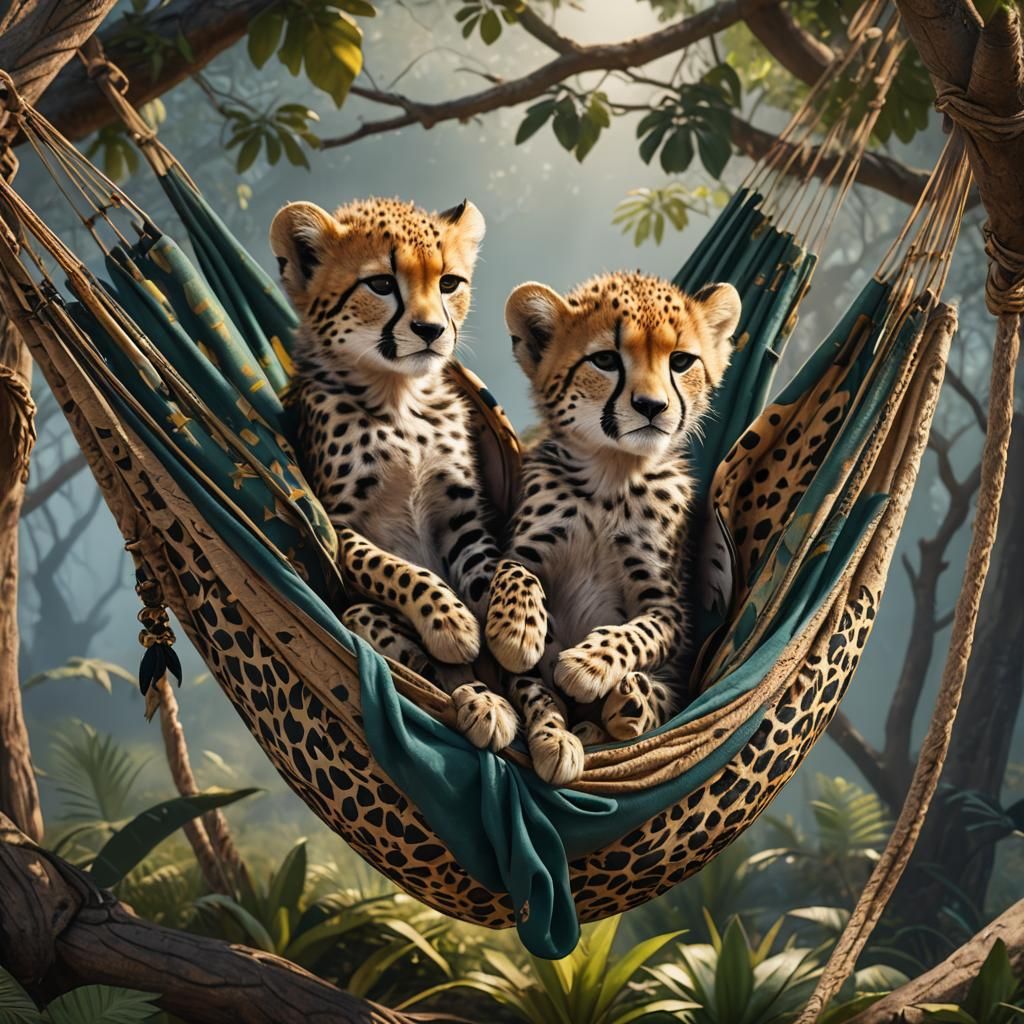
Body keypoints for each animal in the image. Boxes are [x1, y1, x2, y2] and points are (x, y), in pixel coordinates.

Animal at [269, 195, 518, 752]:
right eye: (382, 284)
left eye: (449, 283)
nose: (430, 330)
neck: (399, 397)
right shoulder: (340, 526)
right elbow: (402, 570)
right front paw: (452, 624)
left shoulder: (462, 518)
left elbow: (485, 574)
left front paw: (510, 628)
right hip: (357, 615)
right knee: (421, 668)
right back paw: (477, 700)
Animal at [484, 271, 741, 785]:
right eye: (604, 360)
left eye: (681, 361)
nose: (652, 406)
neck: (612, 473)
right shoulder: (522, 551)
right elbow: (514, 580)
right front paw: (517, 634)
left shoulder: (670, 608)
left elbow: (635, 634)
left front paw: (587, 665)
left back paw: (629, 705)